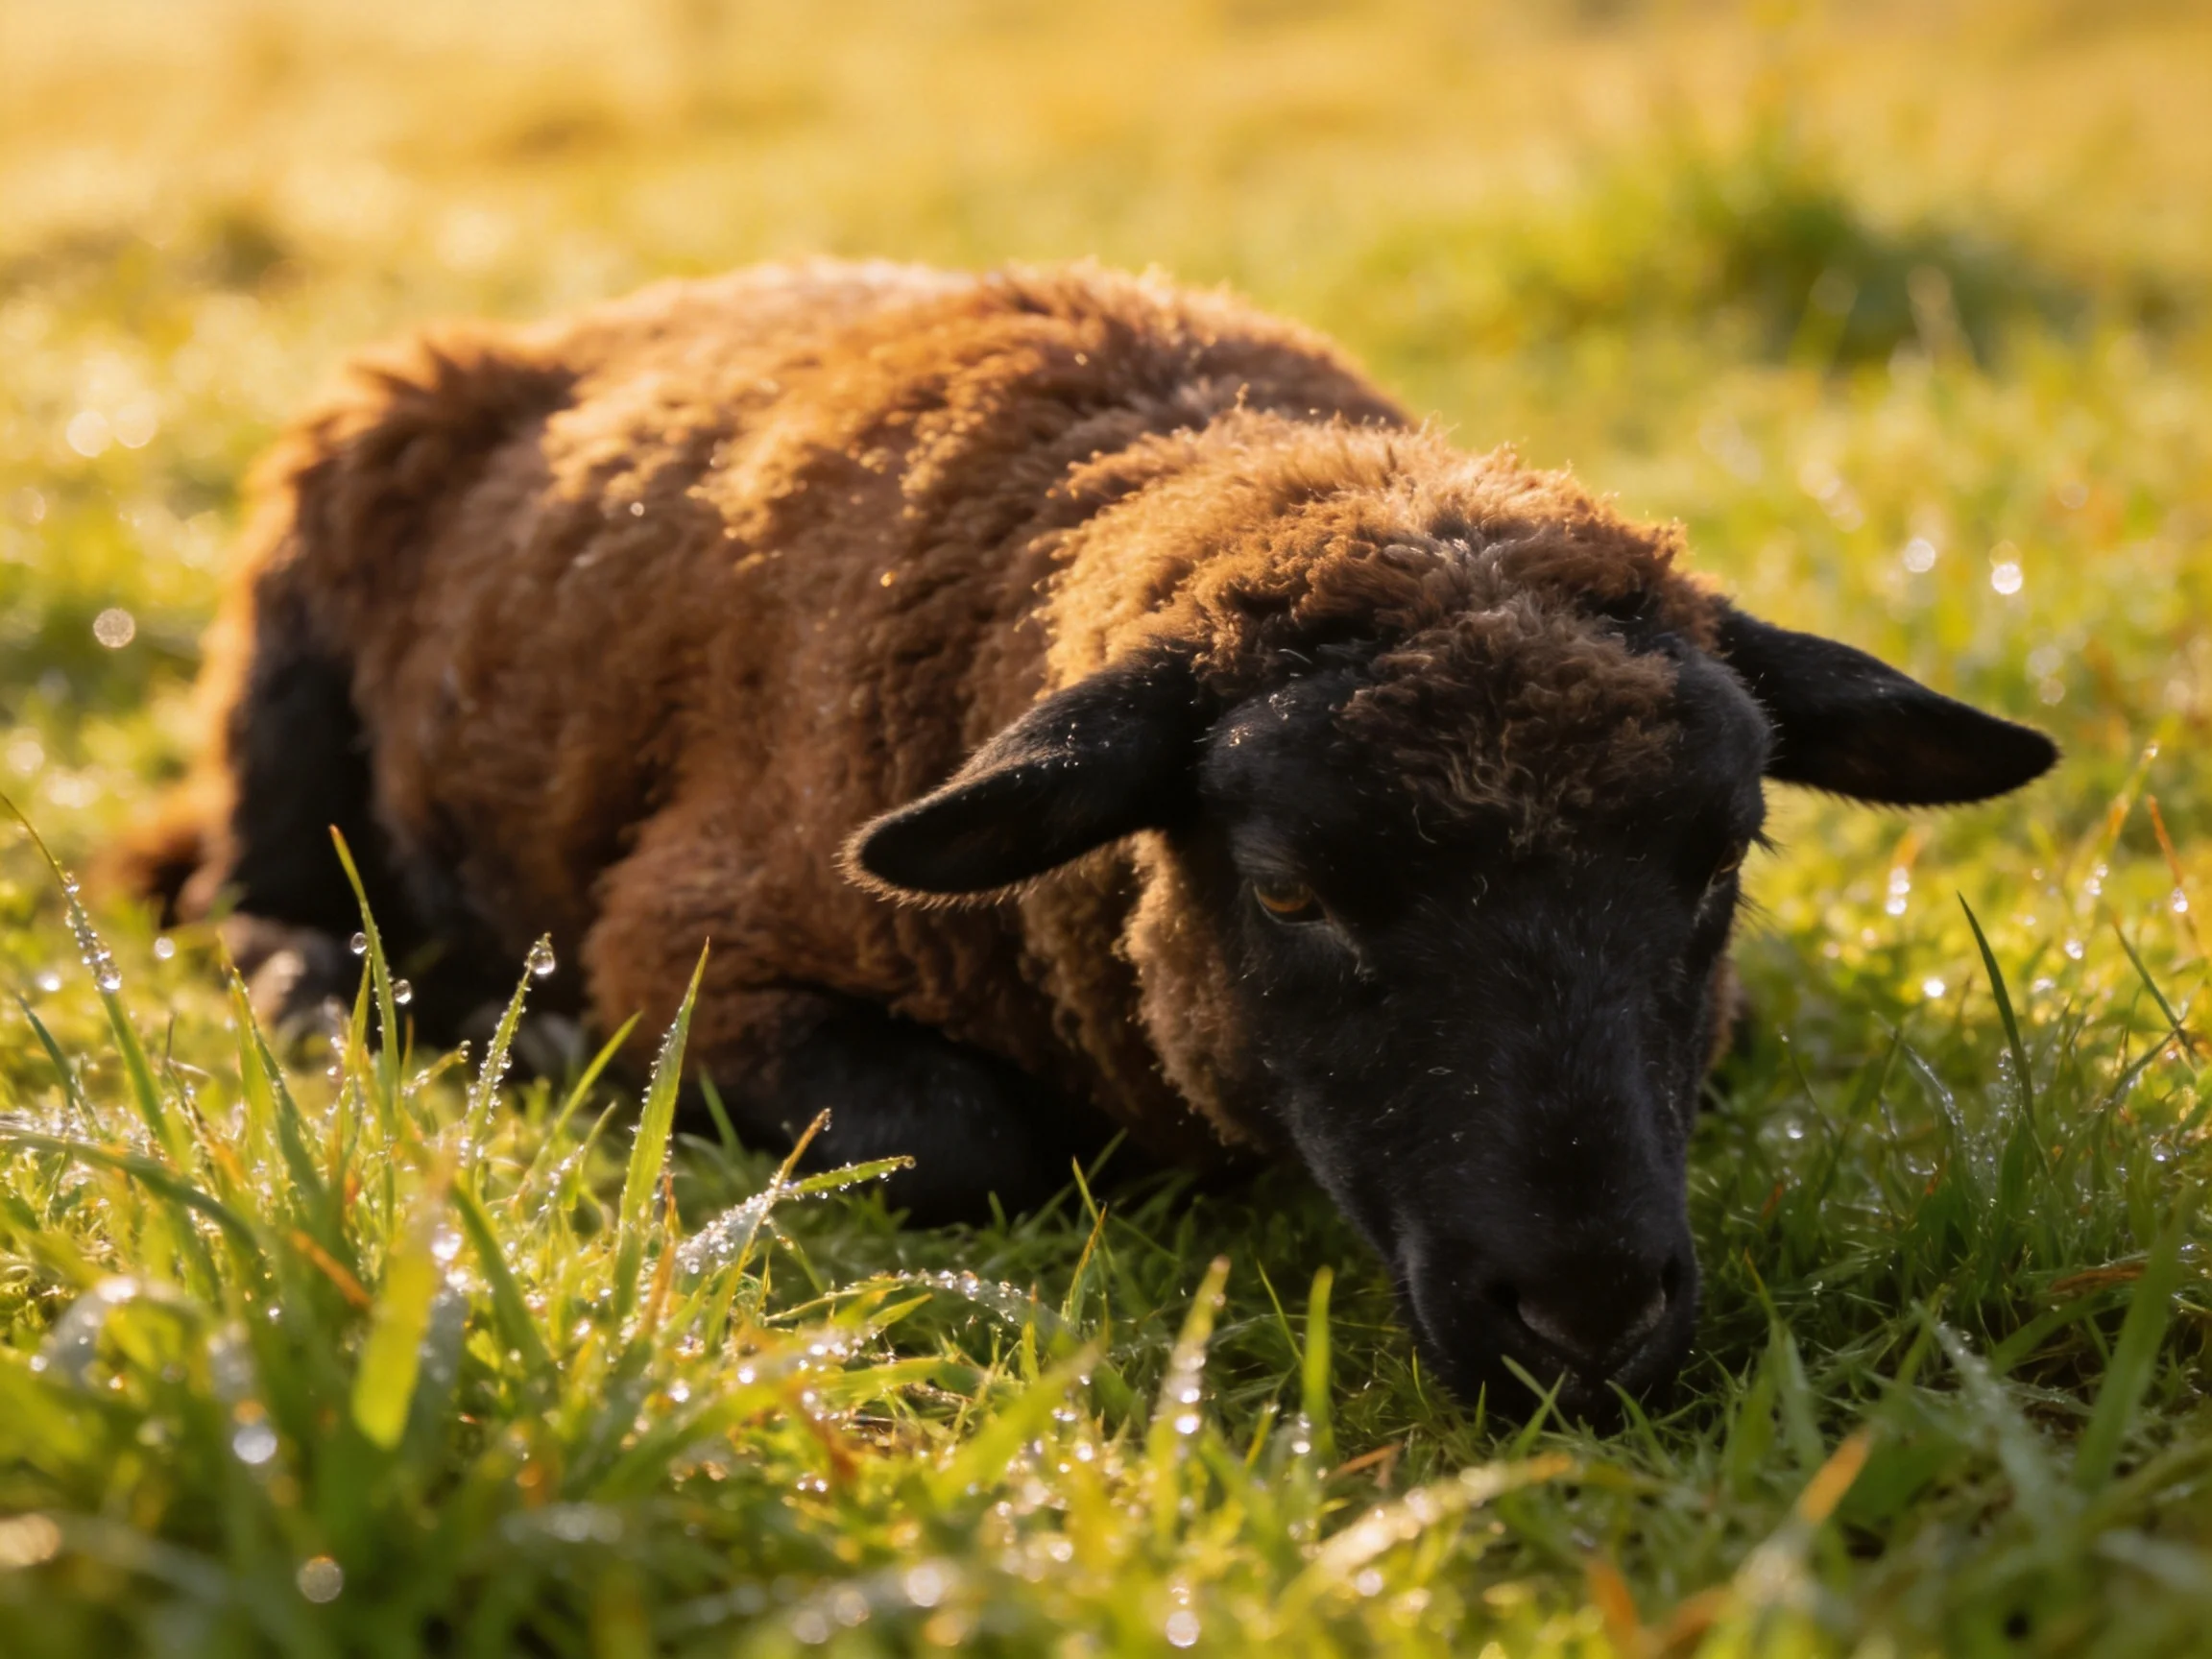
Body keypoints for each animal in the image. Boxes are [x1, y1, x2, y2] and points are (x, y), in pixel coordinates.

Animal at [123, 258, 2057, 1414]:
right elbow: (970, 1141)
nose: (1584, 1328)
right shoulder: (692, 937)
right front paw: (569, 1053)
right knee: (249, 901)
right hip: (282, 680)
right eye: (1284, 891)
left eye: (1719, 868)